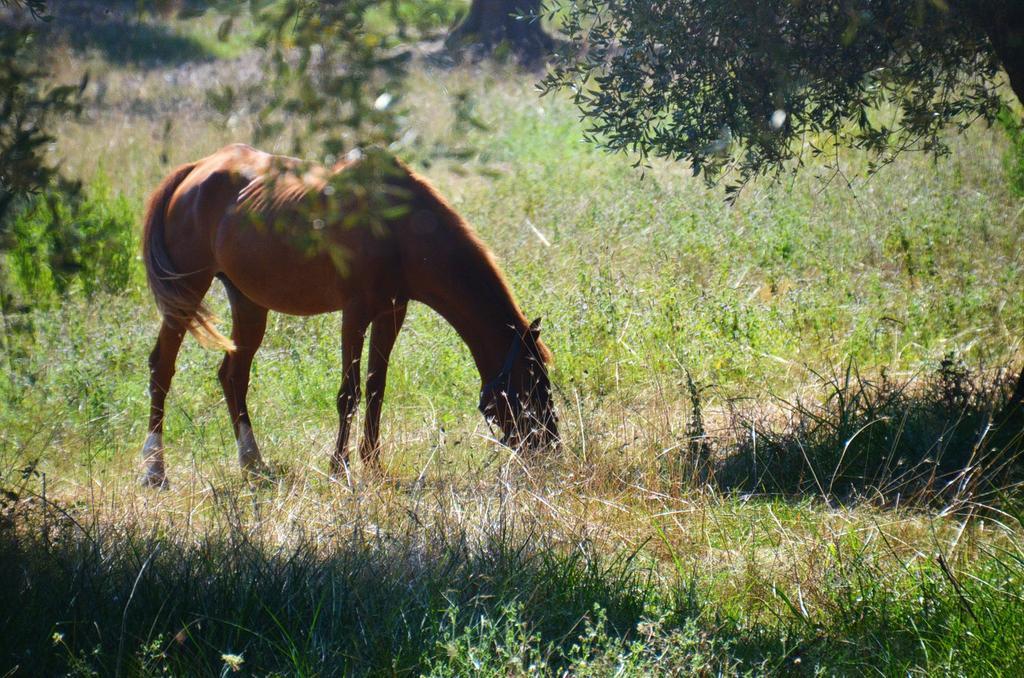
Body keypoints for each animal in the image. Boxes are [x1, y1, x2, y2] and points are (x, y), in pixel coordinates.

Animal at [139, 143, 557, 489]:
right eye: (530, 383)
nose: (550, 447)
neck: (398, 229)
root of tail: (195, 169)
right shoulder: (355, 313)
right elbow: (349, 392)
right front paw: (338, 468)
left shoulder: (392, 311)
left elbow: (375, 388)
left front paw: (372, 464)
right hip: (187, 292)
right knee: (162, 367)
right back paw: (154, 470)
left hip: (248, 302)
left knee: (233, 376)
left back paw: (254, 464)